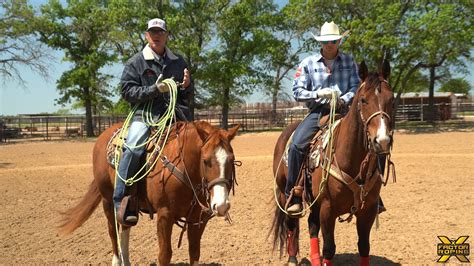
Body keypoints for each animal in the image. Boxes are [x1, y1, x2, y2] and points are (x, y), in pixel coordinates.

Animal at [57, 121, 239, 266]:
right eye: (206, 161)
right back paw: (117, 261)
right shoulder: (165, 215)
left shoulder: (197, 218)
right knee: (113, 231)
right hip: (107, 200)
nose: (222, 205)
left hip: (127, 207)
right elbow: (165, 255)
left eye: (231, 160)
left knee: (125, 227)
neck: (182, 167)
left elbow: (194, 252)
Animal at [272, 60, 394, 266]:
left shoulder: (368, 211)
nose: (382, 141)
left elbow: (364, 246)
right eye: (363, 100)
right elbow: (329, 248)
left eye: (392, 99)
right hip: (284, 193)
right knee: (292, 223)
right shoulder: (328, 209)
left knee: (312, 225)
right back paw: (292, 258)